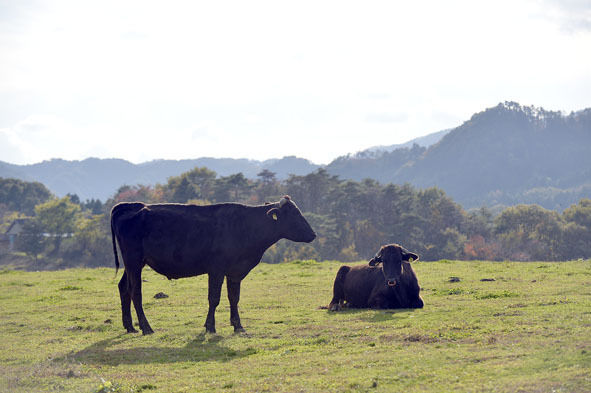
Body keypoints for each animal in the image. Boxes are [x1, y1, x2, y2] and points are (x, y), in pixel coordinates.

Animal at [109, 194, 316, 332]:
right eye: (294, 215)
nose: (313, 234)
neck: (246, 226)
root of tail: (132, 206)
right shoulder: (216, 269)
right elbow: (214, 298)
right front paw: (210, 327)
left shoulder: (235, 271)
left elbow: (234, 297)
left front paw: (238, 326)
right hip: (134, 261)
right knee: (135, 292)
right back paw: (146, 328)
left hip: (134, 263)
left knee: (123, 287)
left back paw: (130, 327)